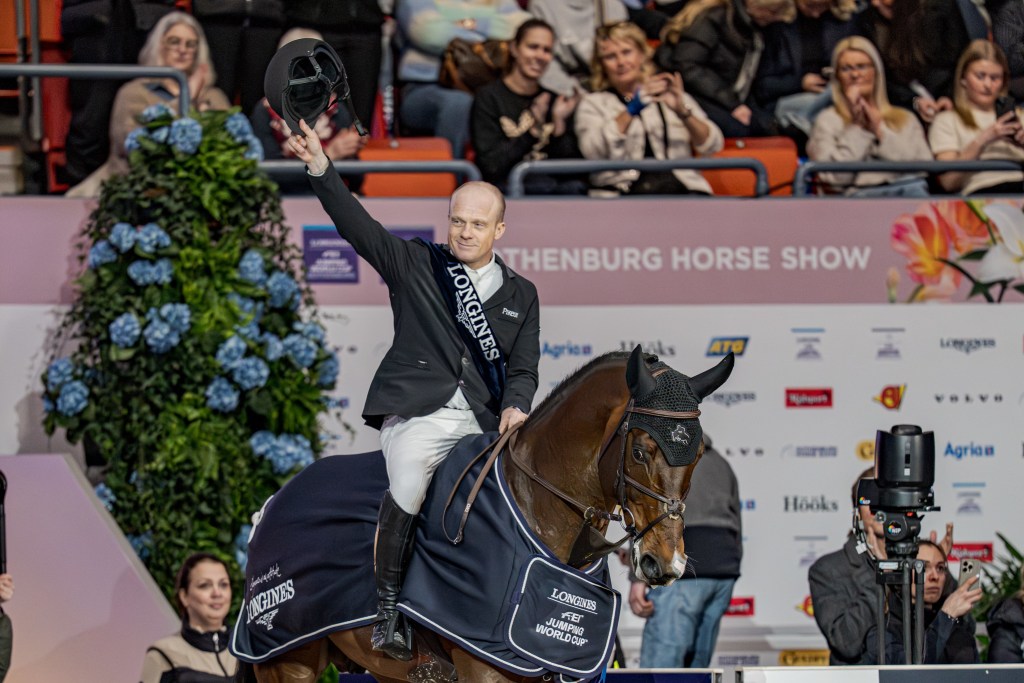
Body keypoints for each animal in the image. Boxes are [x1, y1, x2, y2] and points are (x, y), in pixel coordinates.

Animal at [235, 346, 734, 683]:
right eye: (640, 450)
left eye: (697, 455)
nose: (666, 563)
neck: (536, 508)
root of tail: (272, 504)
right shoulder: (486, 666)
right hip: (286, 660)